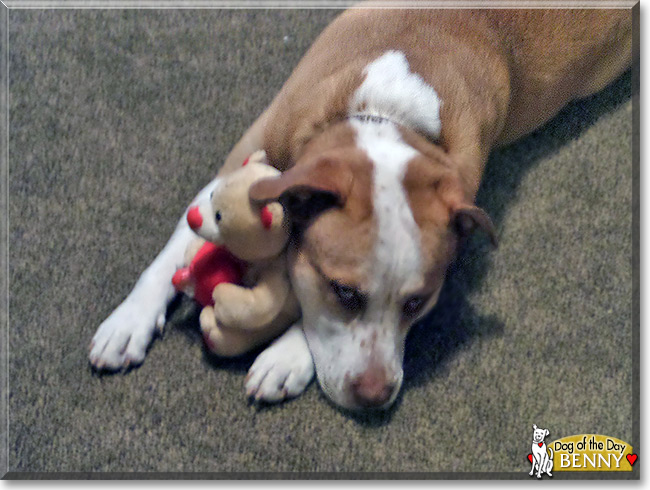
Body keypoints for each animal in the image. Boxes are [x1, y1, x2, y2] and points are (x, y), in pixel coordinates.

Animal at [88, 6, 632, 414]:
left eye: (418, 303)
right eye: (344, 292)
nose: (374, 396)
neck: (383, 115)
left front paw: (287, 356)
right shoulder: (237, 168)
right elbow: (175, 249)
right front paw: (129, 322)